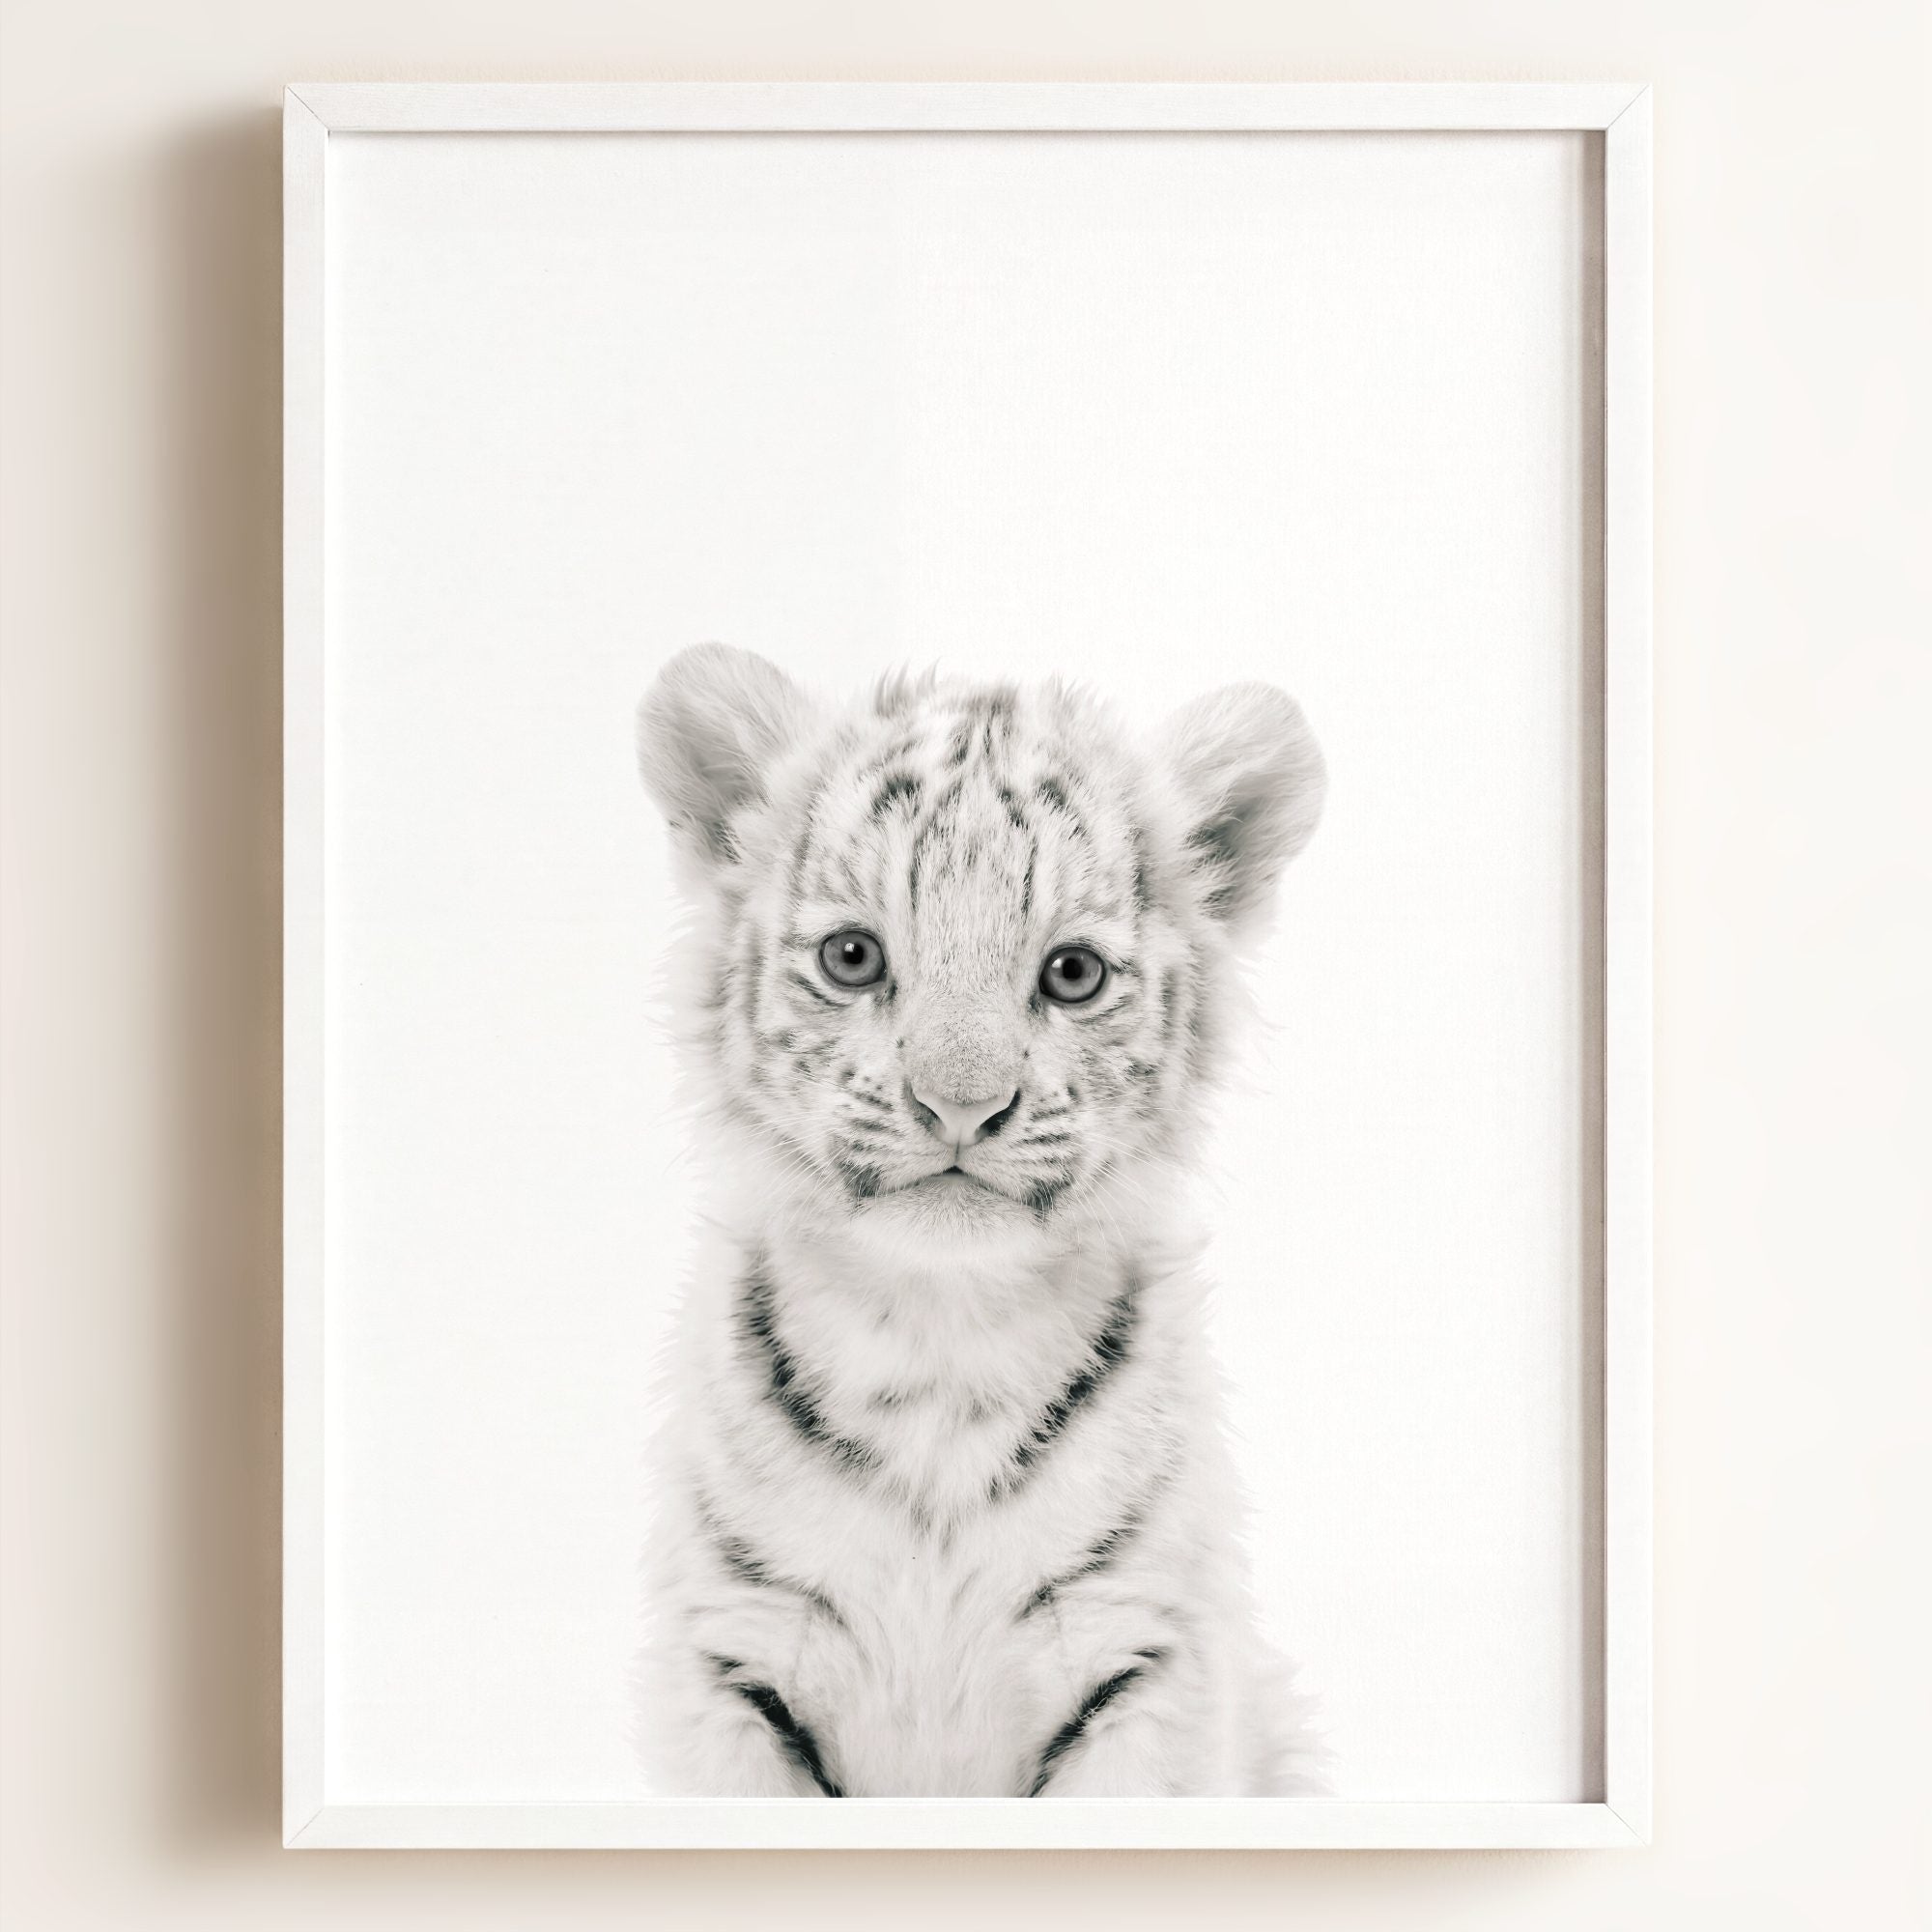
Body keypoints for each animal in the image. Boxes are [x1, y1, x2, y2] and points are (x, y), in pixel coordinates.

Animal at [631, 642, 1329, 1798]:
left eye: (1072, 972)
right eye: (853, 957)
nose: (961, 1105)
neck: (938, 1343)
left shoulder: (1143, 1657)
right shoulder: (731, 1657)